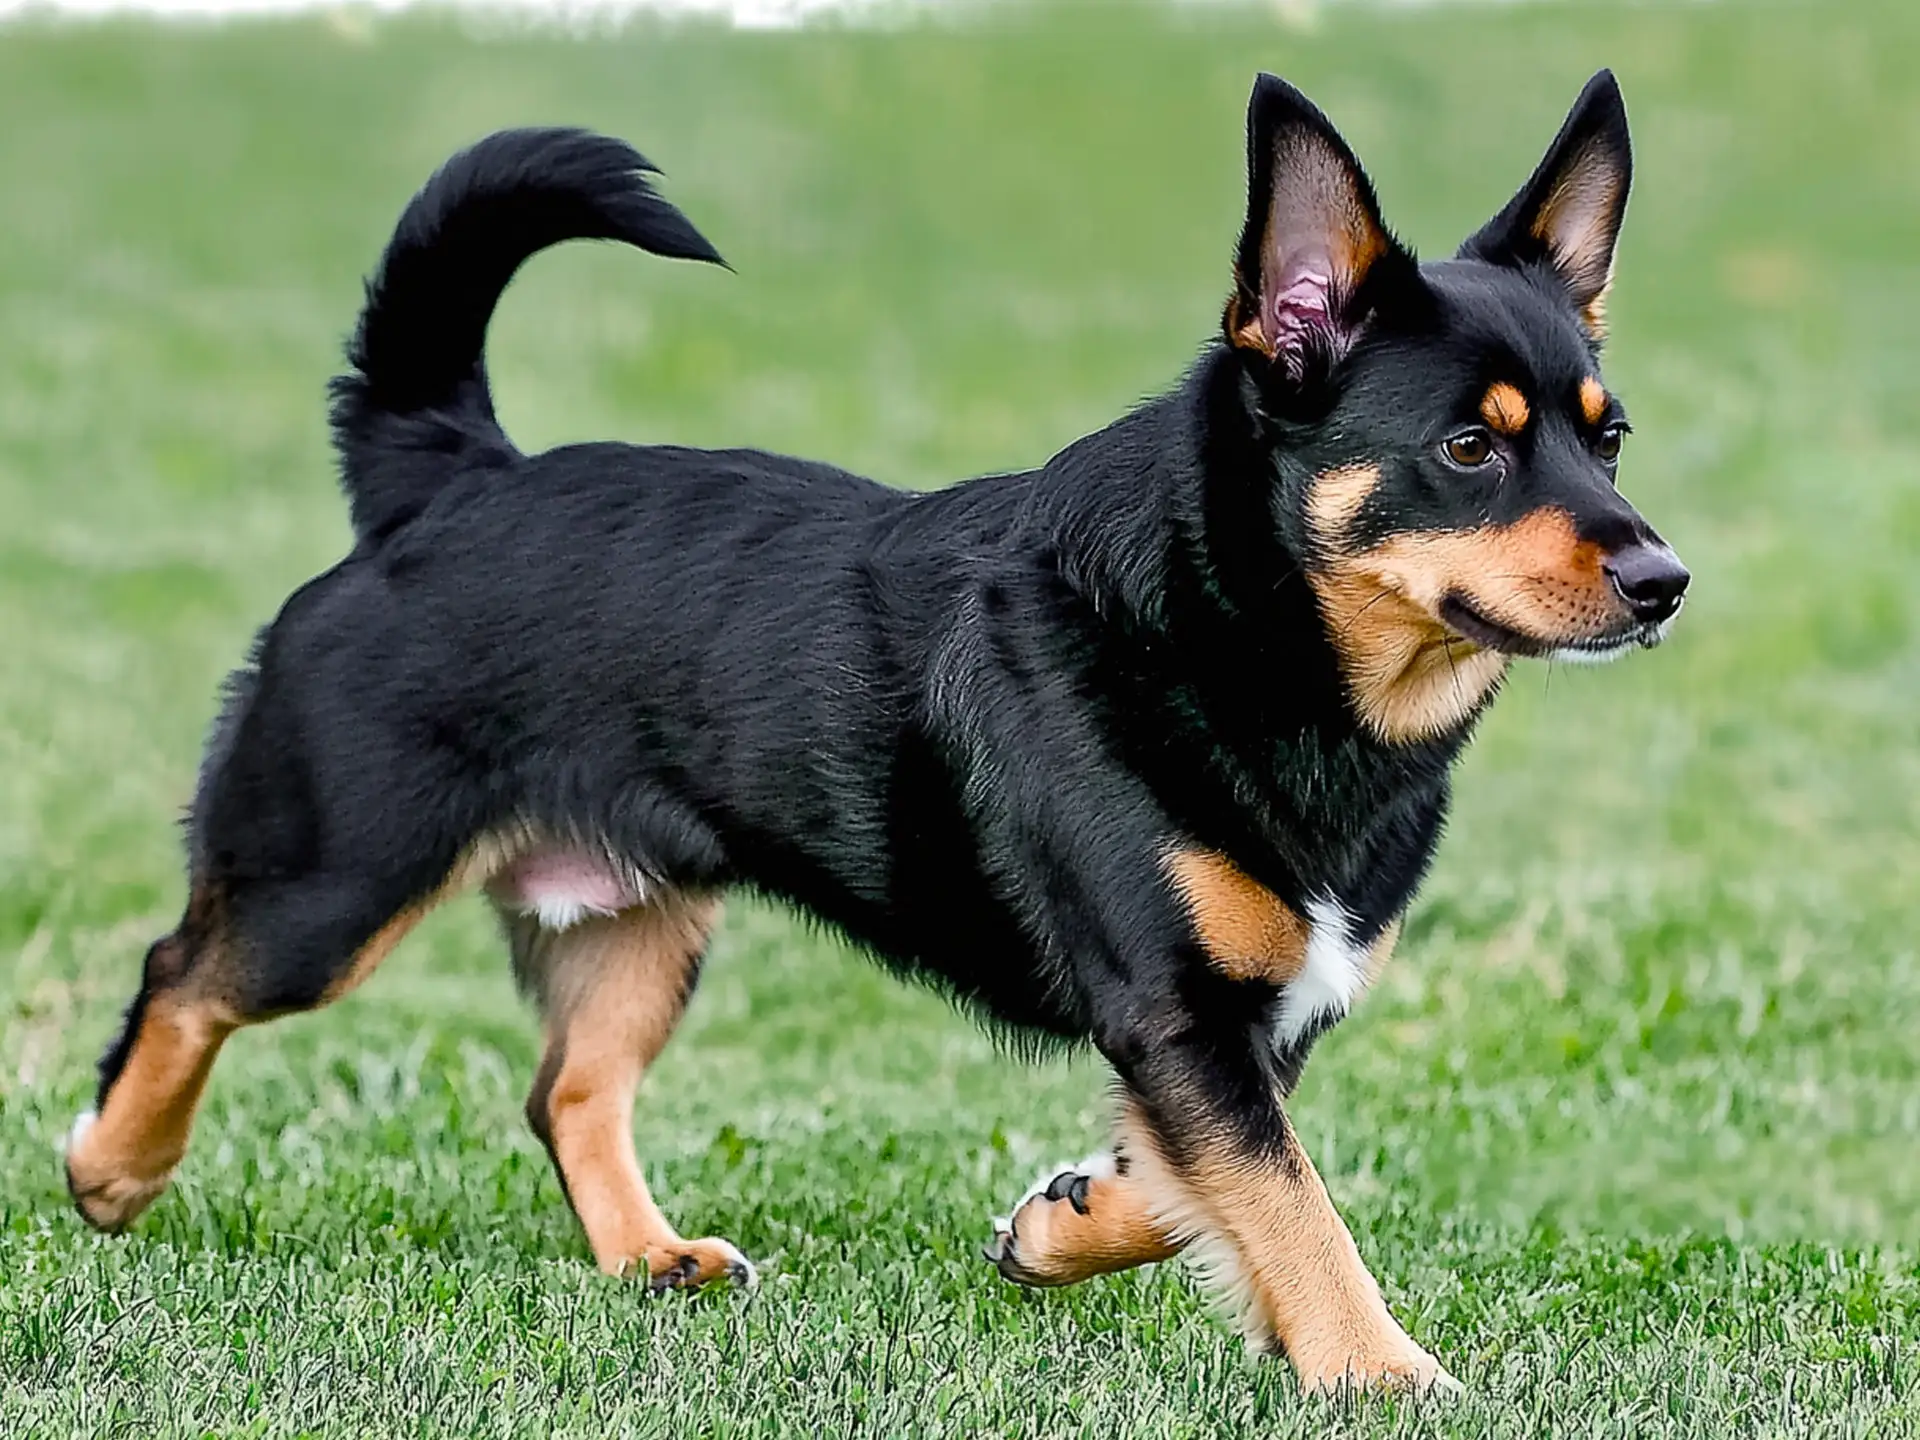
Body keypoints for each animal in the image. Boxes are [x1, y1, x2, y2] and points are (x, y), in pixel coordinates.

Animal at [67, 70, 1681, 1397]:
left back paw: (650, 1256)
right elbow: (1295, 1211)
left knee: (566, 1089)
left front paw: (1065, 1225)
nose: (1666, 579)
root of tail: (450, 475)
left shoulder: (1238, 1032)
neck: (1250, 634)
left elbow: (1196, 1193)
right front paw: (1383, 1372)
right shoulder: (1178, 1015)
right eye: (1468, 447)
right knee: (183, 975)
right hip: (333, 887)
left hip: (642, 918)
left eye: (1607, 440)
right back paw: (111, 1165)